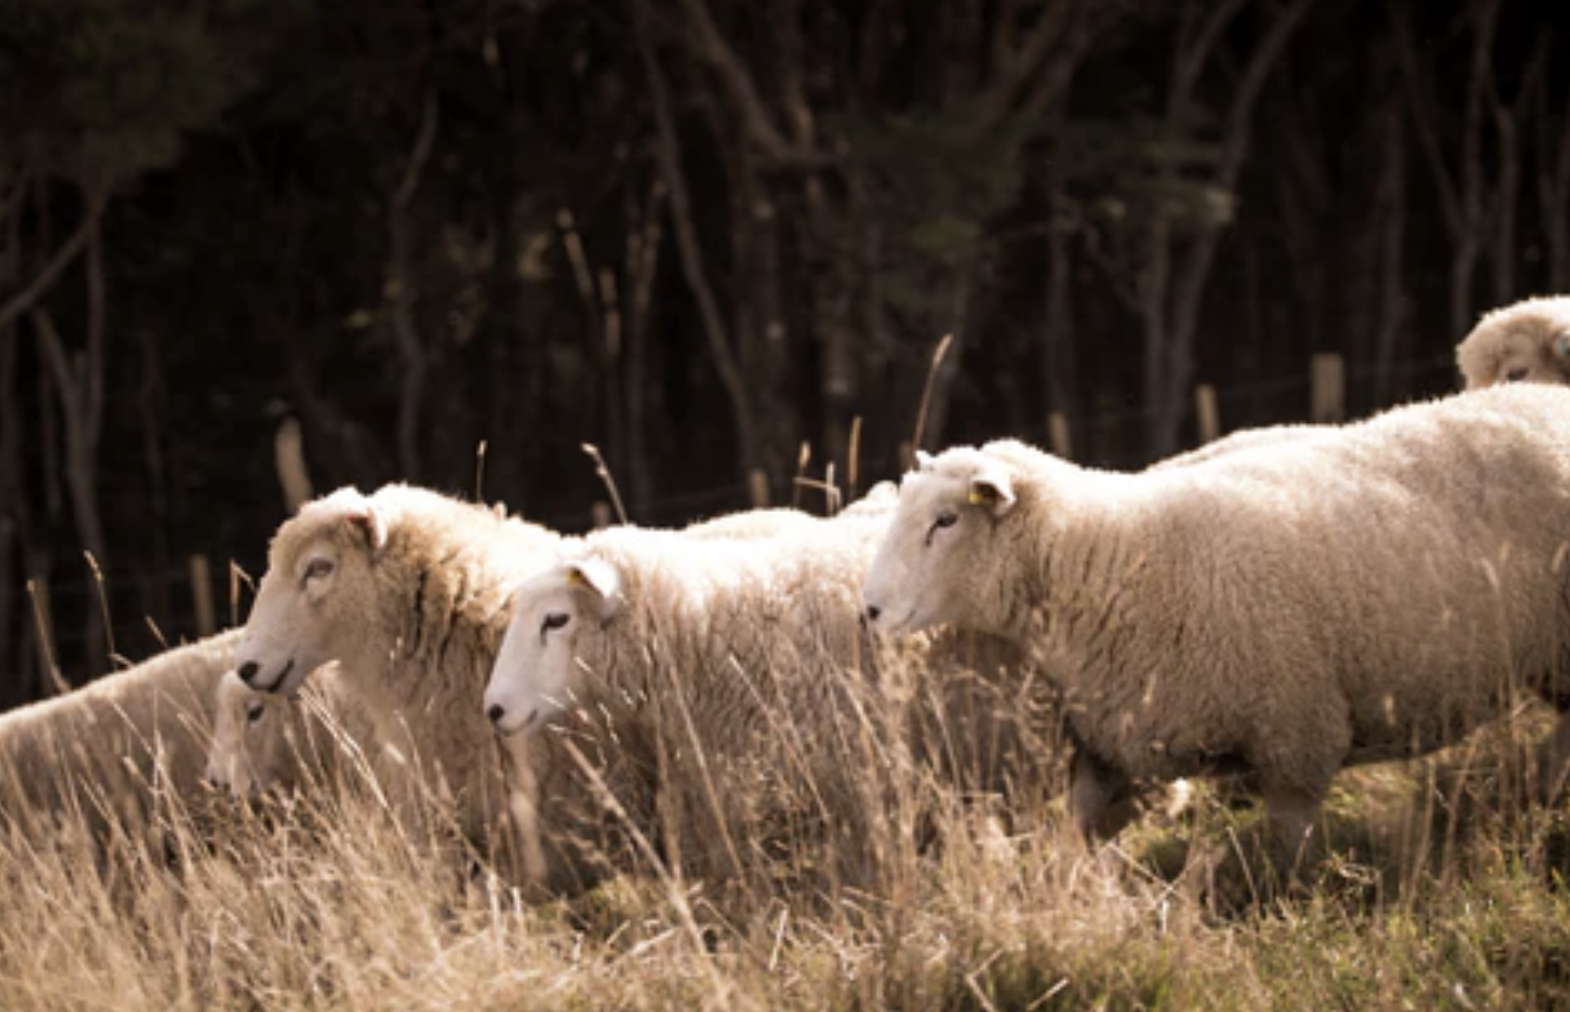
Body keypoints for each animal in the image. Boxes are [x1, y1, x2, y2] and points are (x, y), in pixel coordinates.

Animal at [862, 382, 1570, 872]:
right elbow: (1080, 841)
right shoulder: (1119, 747)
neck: (1112, 557)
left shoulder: (1295, 739)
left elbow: (1292, 860)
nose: (869, 610)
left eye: (946, 520)